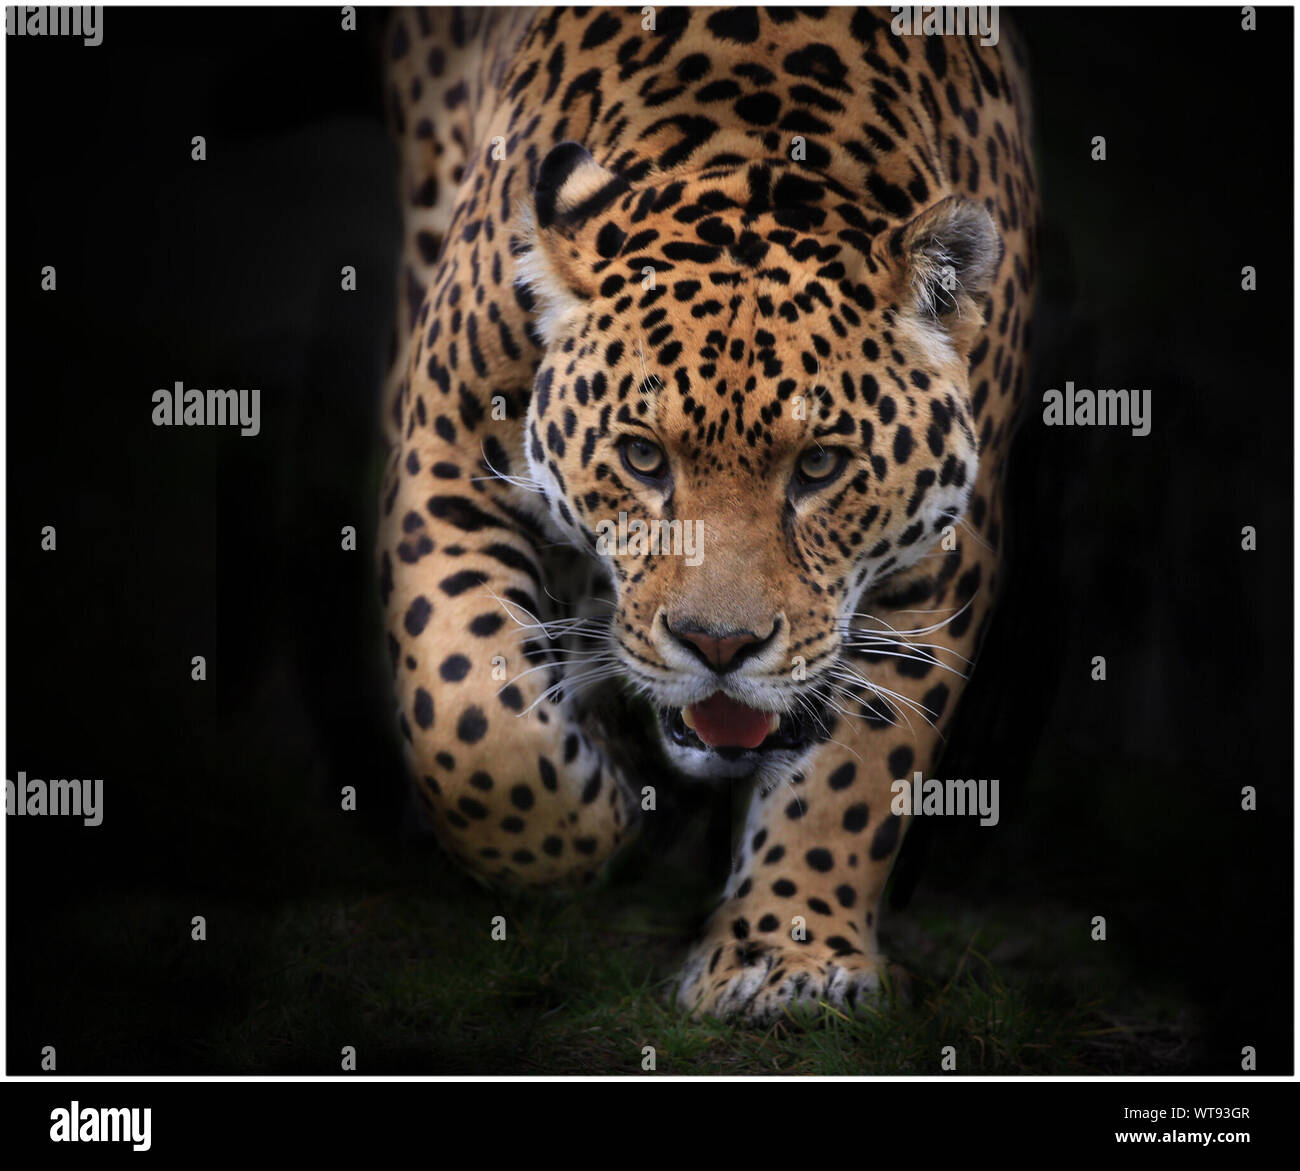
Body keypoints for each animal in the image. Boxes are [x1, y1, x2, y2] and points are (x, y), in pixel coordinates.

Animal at [378, 5, 1038, 1022]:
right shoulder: (448, 447)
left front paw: (787, 953)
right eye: (644, 457)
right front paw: (601, 812)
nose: (718, 647)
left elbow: (857, 771)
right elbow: (473, 721)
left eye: (819, 464)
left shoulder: (943, 555)